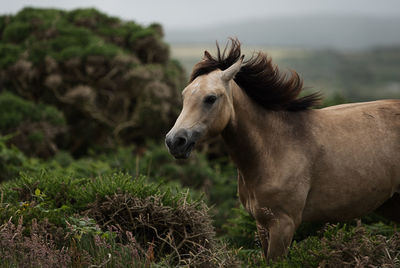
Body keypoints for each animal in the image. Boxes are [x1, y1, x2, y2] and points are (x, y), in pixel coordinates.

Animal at [163, 38, 400, 260]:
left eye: (210, 98)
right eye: (184, 95)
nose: (175, 141)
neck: (274, 147)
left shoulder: (283, 224)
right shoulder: (262, 224)